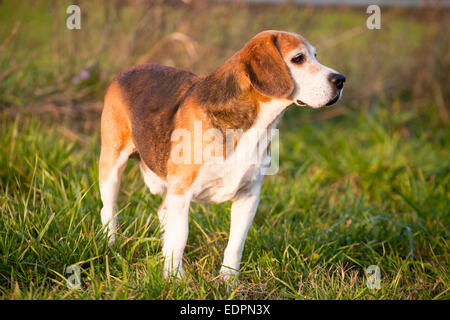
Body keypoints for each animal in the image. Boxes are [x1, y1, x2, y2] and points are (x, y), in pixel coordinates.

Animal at [98, 30, 344, 280]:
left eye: (315, 55)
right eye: (298, 59)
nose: (340, 79)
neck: (255, 125)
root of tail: (125, 72)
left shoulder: (248, 195)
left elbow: (236, 243)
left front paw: (228, 279)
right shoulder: (182, 191)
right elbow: (180, 236)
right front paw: (175, 278)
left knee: (162, 212)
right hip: (112, 164)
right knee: (108, 209)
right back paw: (112, 244)